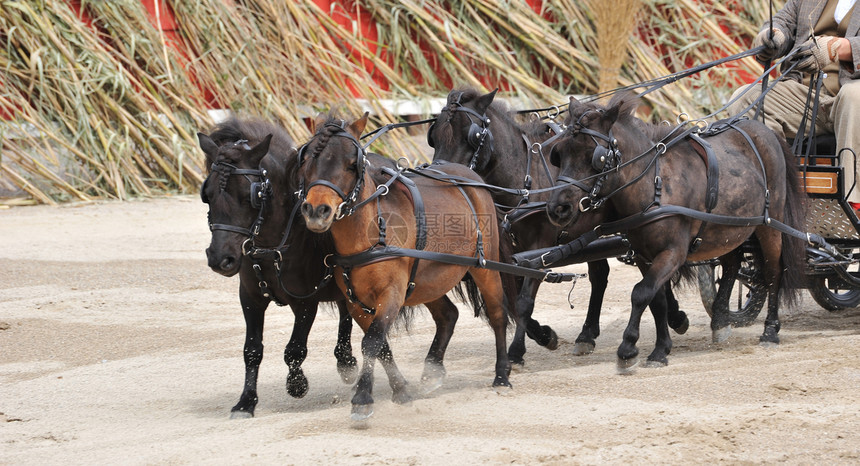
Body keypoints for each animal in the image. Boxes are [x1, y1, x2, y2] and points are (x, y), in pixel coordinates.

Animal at [200, 117, 358, 418]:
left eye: (249, 195)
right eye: (207, 194)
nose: (220, 259)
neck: (271, 248)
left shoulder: (306, 301)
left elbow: (294, 349)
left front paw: (297, 385)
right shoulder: (250, 298)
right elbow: (252, 350)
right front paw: (246, 402)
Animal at [298, 112, 512, 418]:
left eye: (352, 164)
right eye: (307, 160)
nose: (317, 210)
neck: (372, 233)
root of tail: (471, 177)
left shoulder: (392, 293)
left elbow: (372, 342)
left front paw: (363, 397)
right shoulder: (356, 302)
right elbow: (381, 345)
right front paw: (400, 389)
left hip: (484, 266)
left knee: (497, 313)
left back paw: (502, 375)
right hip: (426, 279)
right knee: (447, 315)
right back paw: (432, 373)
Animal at [430, 89, 692, 362]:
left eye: (472, 136)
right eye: (434, 137)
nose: (441, 177)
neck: (526, 178)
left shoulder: (540, 245)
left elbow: (524, 301)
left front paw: (518, 349)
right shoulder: (515, 252)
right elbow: (512, 299)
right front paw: (544, 335)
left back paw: (674, 317)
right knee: (604, 275)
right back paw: (589, 334)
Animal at [544, 93, 808, 374]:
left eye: (595, 157)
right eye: (559, 154)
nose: (557, 208)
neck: (655, 184)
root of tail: (764, 130)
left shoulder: (673, 252)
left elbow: (640, 293)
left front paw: (627, 349)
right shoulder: (644, 256)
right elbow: (655, 298)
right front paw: (661, 349)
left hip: (770, 224)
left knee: (772, 272)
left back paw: (770, 330)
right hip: (726, 230)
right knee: (732, 264)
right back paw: (720, 321)